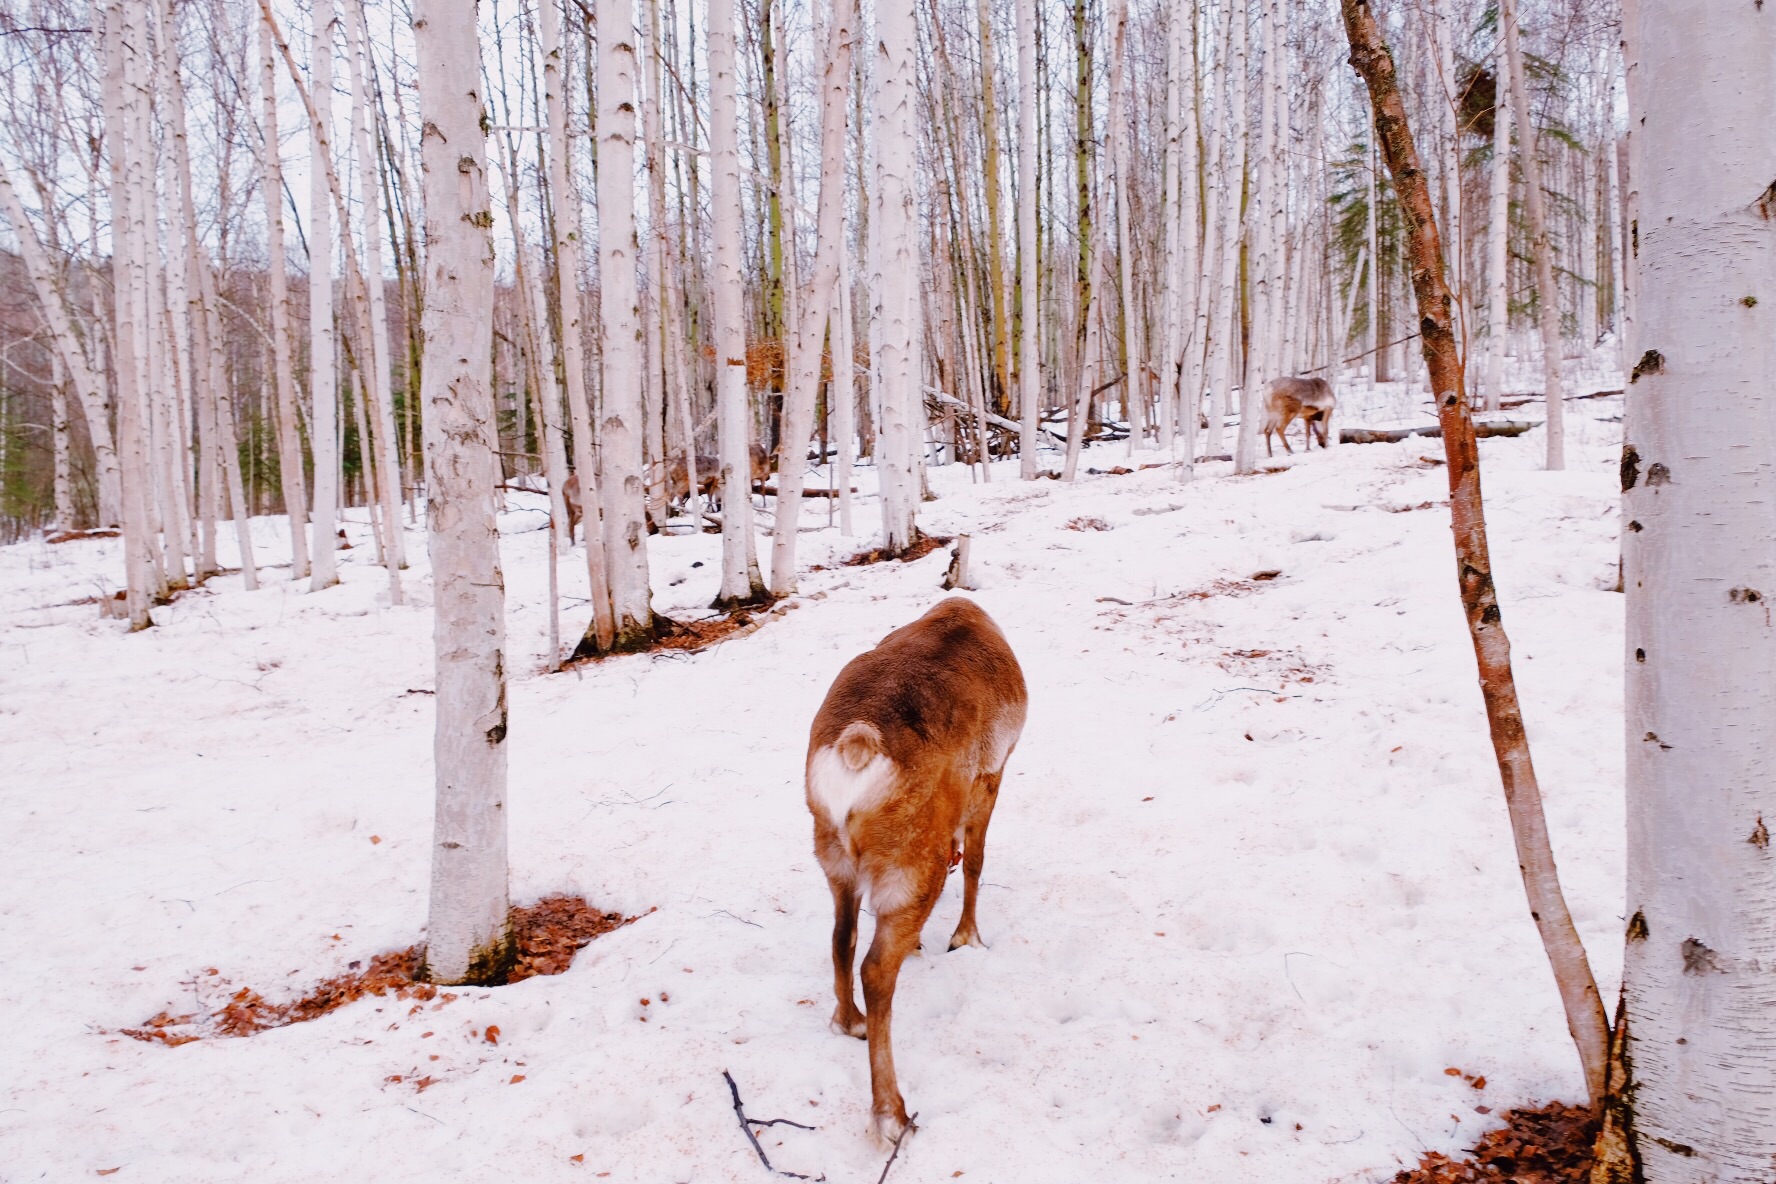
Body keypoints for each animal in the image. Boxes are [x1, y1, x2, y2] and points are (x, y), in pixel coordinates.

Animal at [806, 596, 1030, 1143]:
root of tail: (856, 747)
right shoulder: (991, 776)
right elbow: (975, 861)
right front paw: (967, 938)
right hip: (910, 866)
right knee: (875, 968)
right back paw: (893, 1113)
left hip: (835, 858)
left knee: (840, 938)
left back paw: (849, 1021)